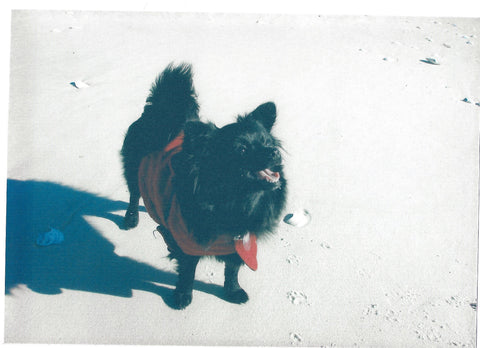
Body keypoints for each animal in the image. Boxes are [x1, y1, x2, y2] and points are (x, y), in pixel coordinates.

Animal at [121, 62, 284, 308]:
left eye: (267, 143)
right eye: (241, 149)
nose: (274, 152)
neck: (236, 202)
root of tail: (157, 111)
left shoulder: (240, 242)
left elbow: (232, 268)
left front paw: (233, 291)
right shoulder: (185, 243)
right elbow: (188, 272)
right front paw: (182, 295)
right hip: (133, 171)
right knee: (133, 195)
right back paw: (131, 218)